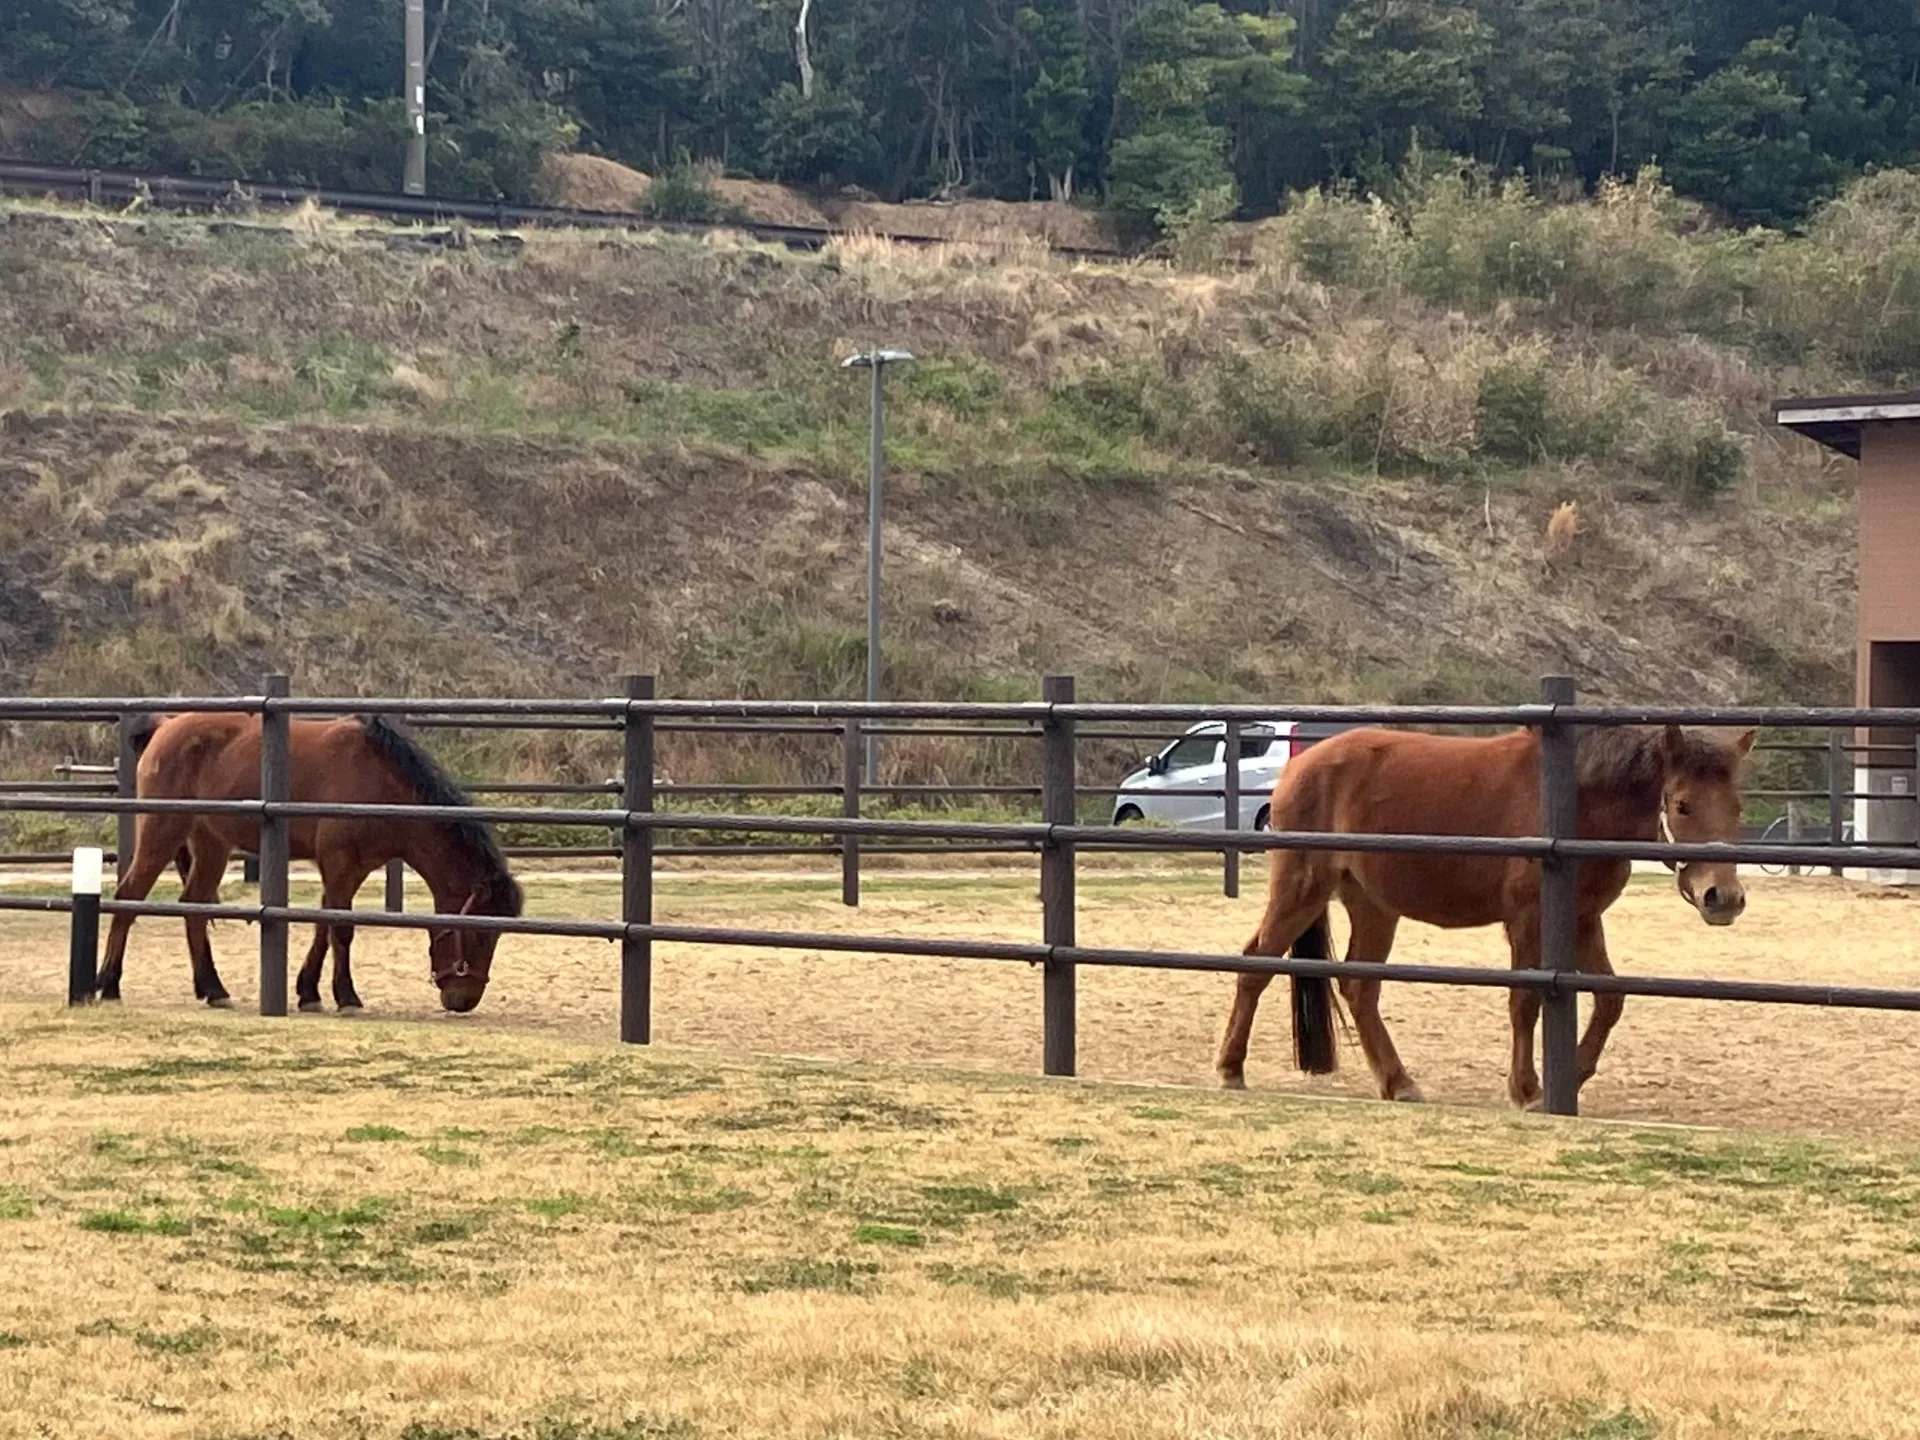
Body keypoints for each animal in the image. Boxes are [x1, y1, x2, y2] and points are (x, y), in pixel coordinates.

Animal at [99, 711, 525, 1015]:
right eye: (481, 934)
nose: (464, 1000)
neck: (381, 781)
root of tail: (166, 726)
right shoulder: (339, 863)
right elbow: (342, 930)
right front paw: (347, 997)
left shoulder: (350, 869)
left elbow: (325, 924)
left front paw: (309, 992)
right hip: (162, 830)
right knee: (129, 897)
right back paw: (108, 984)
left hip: (211, 843)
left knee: (194, 906)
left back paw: (213, 988)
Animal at [1216, 721, 1754, 1109]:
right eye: (1681, 805)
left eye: (1737, 808)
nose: (1722, 897)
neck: (1573, 801)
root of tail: (1302, 765)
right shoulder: (1527, 922)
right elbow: (1525, 1001)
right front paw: (1527, 1090)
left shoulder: (1583, 919)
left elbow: (1609, 999)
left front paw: (1569, 1079)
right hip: (1301, 888)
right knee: (1256, 964)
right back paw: (1230, 1069)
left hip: (1373, 906)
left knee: (1358, 988)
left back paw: (1399, 1083)